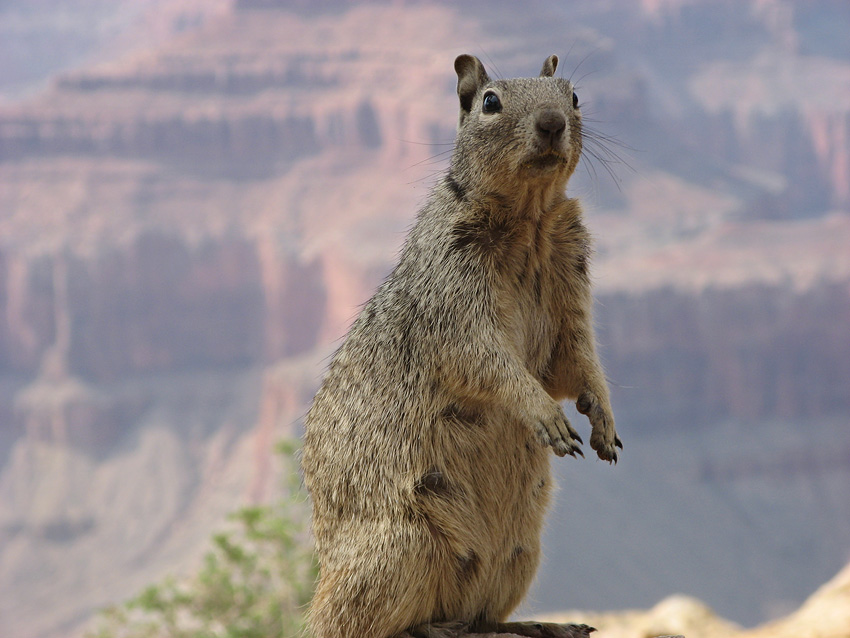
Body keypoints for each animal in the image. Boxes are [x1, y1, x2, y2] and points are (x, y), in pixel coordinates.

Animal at [302, 55, 620, 638]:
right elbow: (488, 361)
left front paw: (603, 421)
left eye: (574, 96)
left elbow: (579, 362)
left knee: (480, 616)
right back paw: (430, 626)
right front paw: (547, 416)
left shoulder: (571, 293)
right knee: (370, 625)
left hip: (521, 553)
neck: (530, 220)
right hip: (402, 547)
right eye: (490, 102)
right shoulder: (454, 296)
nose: (550, 123)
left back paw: (540, 625)